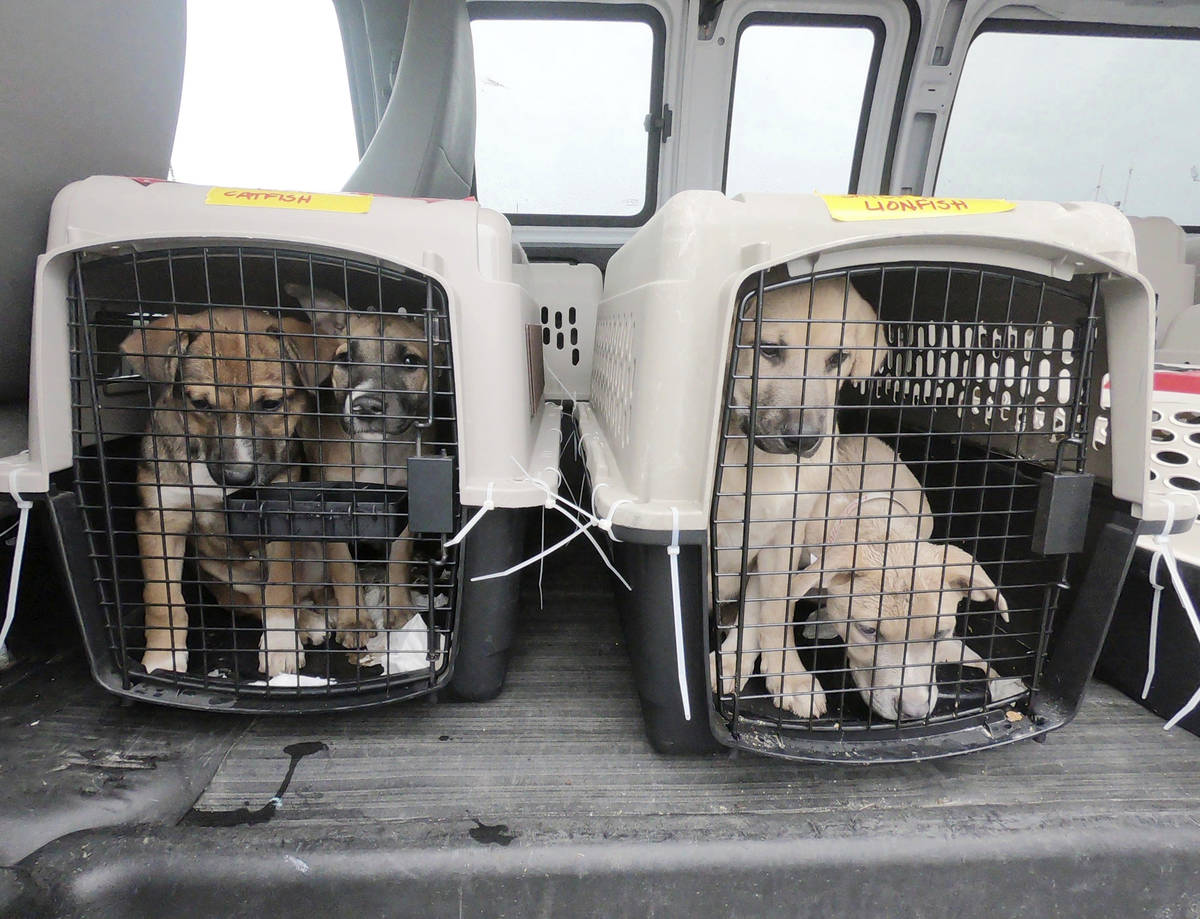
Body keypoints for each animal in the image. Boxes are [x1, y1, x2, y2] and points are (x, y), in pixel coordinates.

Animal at [123, 309, 352, 676]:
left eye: (271, 403)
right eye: (200, 403)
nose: (238, 476)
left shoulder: (279, 516)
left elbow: (279, 588)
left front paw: (280, 646)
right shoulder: (160, 520)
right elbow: (162, 598)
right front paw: (163, 656)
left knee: (306, 591)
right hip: (220, 574)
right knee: (250, 602)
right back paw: (308, 622)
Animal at [282, 284, 436, 652]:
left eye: (409, 361)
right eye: (344, 359)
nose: (365, 406)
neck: (374, 450)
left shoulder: (405, 505)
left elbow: (398, 559)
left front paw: (400, 610)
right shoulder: (332, 512)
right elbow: (342, 568)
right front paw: (354, 620)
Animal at [710, 277, 892, 724]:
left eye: (838, 357)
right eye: (768, 349)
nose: (804, 440)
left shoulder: (782, 541)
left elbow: (775, 613)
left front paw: (789, 676)